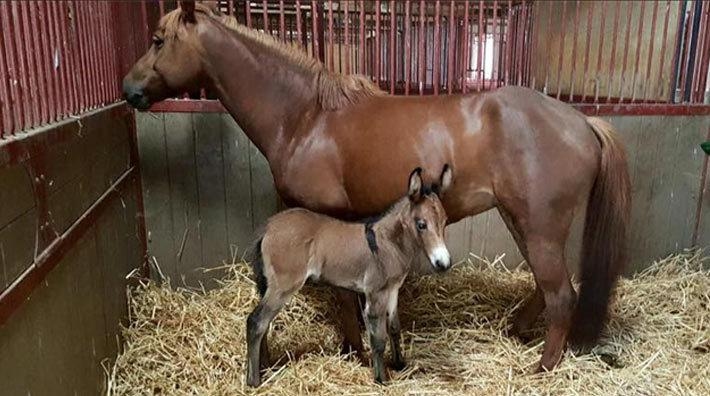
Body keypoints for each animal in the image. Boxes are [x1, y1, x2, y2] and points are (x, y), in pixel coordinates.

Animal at [248, 166, 454, 386]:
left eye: (444, 222)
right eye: (421, 224)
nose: (443, 263)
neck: (387, 244)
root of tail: (268, 228)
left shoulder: (392, 290)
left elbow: (394, 328)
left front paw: (400, 365)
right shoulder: (375, 294)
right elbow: (378, 339)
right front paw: (381, 379)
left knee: (263, 325)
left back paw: (265, 367)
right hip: (283, 286)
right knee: (256, 322)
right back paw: (253, 381)